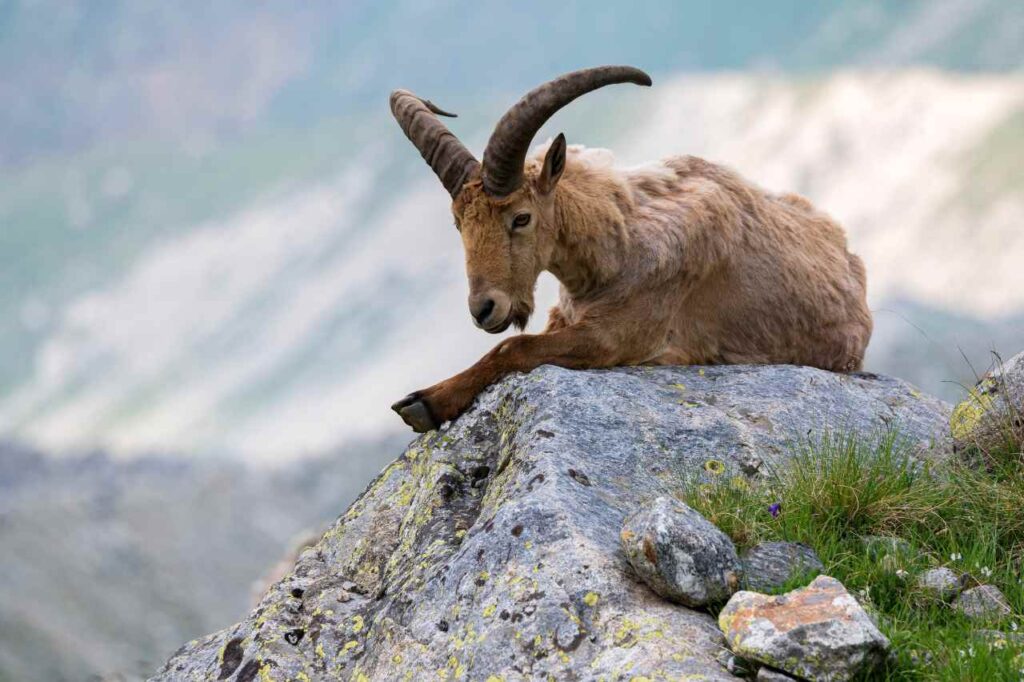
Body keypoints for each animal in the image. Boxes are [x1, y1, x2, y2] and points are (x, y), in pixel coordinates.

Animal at [389, 65, 872, 433]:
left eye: (521, 217)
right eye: (458, 223)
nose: (484, 309)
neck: (619, 247)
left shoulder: (617, 337)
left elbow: (513, 348)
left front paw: (424, 404)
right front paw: (420, 397)